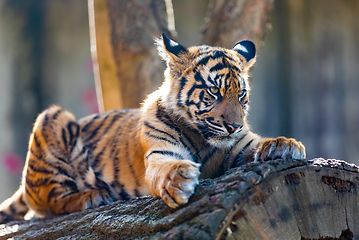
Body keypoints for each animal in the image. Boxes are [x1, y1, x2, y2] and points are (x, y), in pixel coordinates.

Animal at [0, 33, 306, 223]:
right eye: (213, 92)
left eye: (241, 95)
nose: (233, 125)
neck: (203, 138)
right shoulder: (161, 154)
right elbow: (166, 169)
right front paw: (179, 179)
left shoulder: (241, 143)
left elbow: (257, 142)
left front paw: (287, 144)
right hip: (52, 118)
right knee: (45, 203)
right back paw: (93, 196)